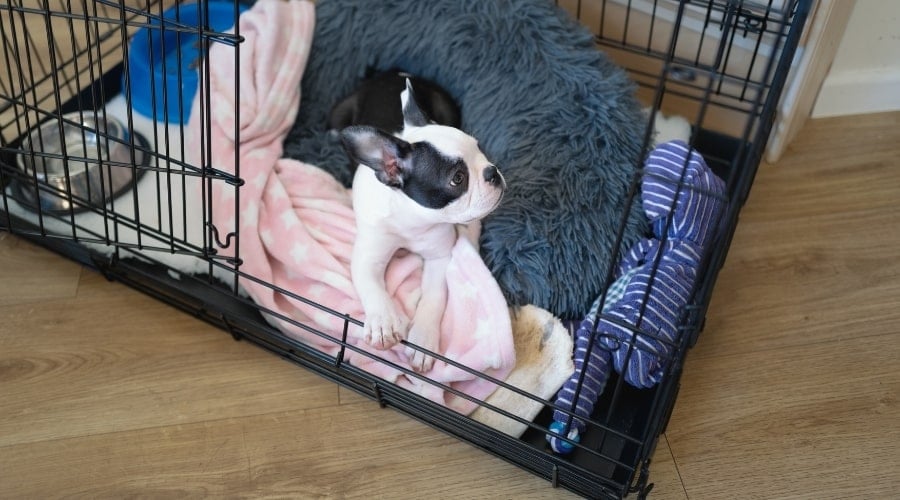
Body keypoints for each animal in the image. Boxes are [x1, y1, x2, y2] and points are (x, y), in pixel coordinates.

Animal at [338, 72, 506, 374]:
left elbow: (433, 298)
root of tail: (389, 71)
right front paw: (383, 321)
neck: (412, 218)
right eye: (458, 179)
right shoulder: (368, 256)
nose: (493, 172)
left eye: (480, 149)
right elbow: (372, 286)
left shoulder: (439, 257)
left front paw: (423, 341)